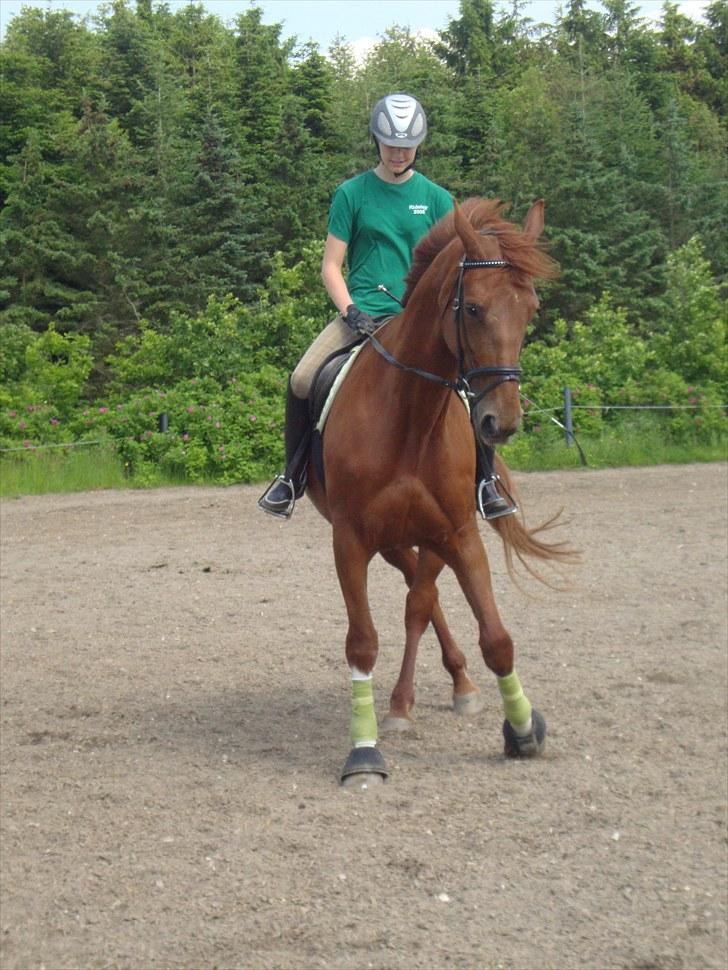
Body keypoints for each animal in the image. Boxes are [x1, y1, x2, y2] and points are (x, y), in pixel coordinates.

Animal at [304, 199, 572, 788]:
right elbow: (362, 642)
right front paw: (364, 753)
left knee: (420, 601)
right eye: (472, 309)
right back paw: (405, 704)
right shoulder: (351, 540)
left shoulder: (459, 533)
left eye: (531, 309)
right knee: (417, 596)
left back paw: (447, 691)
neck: (410, 413)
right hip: (389, 540)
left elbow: (496, 637)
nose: (500, 423)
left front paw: (523, 730)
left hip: (427, 538)